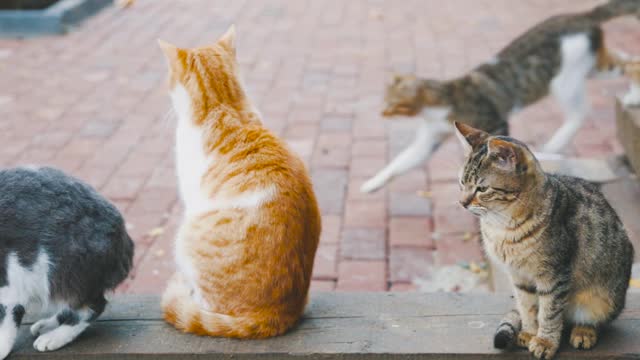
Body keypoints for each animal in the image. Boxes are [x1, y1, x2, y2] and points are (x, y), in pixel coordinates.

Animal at [0, 166, 133, 358]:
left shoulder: (10, 280)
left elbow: (7, 318)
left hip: (62, 271)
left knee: (92, 306)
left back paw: (51, 339)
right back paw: (45, 326)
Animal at [362, 0, 640, 194]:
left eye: (393, 105)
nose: (381, 113)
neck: (442, 103)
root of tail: (581, 15)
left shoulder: (495, 123)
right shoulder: (430, 139)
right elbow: (401, 162)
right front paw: (373, 183)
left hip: (565, 80)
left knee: (580, 112)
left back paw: (556, 144)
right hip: (595, 66)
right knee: (629, 61)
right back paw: (632, 96)